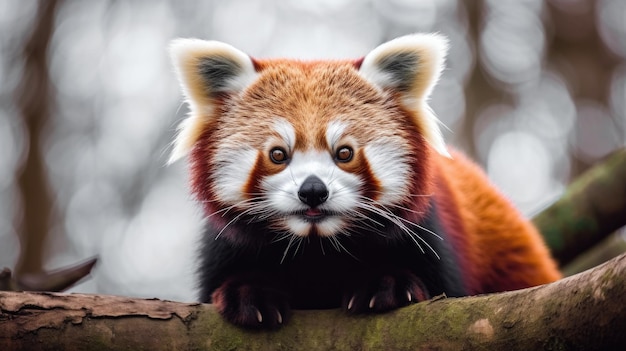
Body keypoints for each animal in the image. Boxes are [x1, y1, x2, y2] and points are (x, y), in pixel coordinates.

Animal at [167, 33, 560, 330]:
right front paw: (250, 292)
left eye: (344, 153)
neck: (317, 248)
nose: (313, 191)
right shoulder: (222, 247)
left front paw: (386, 283)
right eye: (278, 154)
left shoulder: (435, 236)